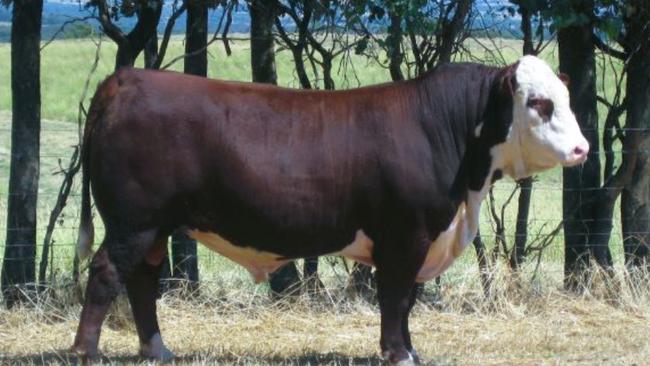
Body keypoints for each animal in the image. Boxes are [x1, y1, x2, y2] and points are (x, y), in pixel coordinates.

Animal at [72, 55, 588, 364]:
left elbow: (407, 301)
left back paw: (158, 350)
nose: (582, 148)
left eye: (565, 99)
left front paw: (409, 351)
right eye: (539, 103)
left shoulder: (419, 240)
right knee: (106, 273)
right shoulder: (405, 236)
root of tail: (127, 78)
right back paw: (84, 351)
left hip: (154, 227)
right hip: (133, 222)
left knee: (141, 279)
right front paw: (398, 354)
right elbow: (395, 298)